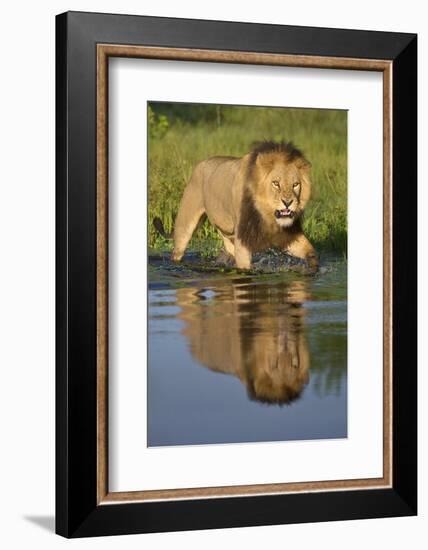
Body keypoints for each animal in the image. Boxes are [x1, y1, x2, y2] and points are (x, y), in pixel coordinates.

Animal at [167, 141, 318, 272]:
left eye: (295, 184)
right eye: (276, 183)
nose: (288, 202)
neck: (266, 214)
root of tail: (202, 163)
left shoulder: (286, 234)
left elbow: (311, 252)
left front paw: (312, 269)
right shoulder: (243, 237)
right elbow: (245, 268)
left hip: (226, 233)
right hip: (185, 225)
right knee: (177, 251)